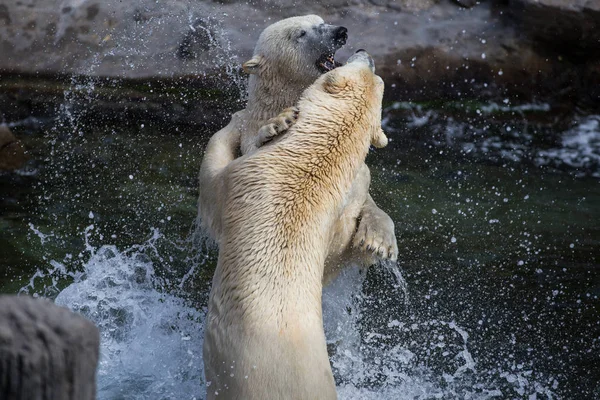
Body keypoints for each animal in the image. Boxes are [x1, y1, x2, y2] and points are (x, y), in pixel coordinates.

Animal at [197, 15, 398, 282]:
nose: (340, 32)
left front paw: (379, 240)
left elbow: (365, 200)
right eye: (301, 33)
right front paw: (277, 124)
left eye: (320, 20)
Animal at [204, 50, 386, 400]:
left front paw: (237, 121)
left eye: (366, 68)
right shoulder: (337, 214)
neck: (310, 162)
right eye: (377, 75)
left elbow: (213, 175)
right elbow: (334, 260)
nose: (367, 53)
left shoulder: (244, 180)